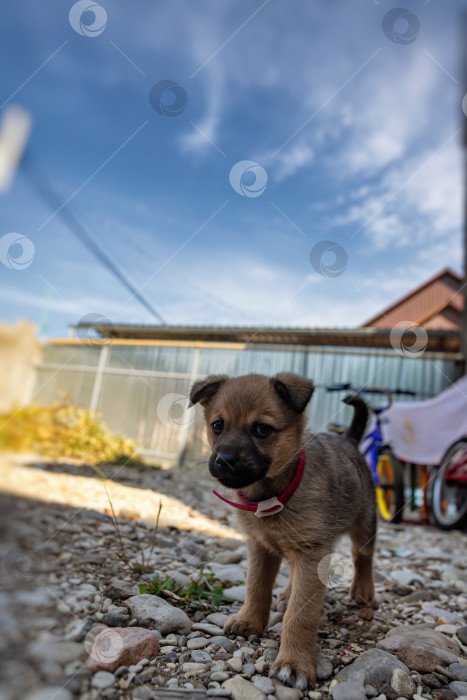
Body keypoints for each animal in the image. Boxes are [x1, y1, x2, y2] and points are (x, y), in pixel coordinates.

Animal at [190, 372, 376, 688]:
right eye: (217, 425)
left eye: (262, 429)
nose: (224, 460)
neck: (272, 495)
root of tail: (348, 440)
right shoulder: (260, 546)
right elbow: (256, 586)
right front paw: (250, 620)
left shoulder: (311, 552)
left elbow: (300, 615)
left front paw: (294, 663)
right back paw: (288, 593)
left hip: (364, 526)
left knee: (363, 557)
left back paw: (362, 589)